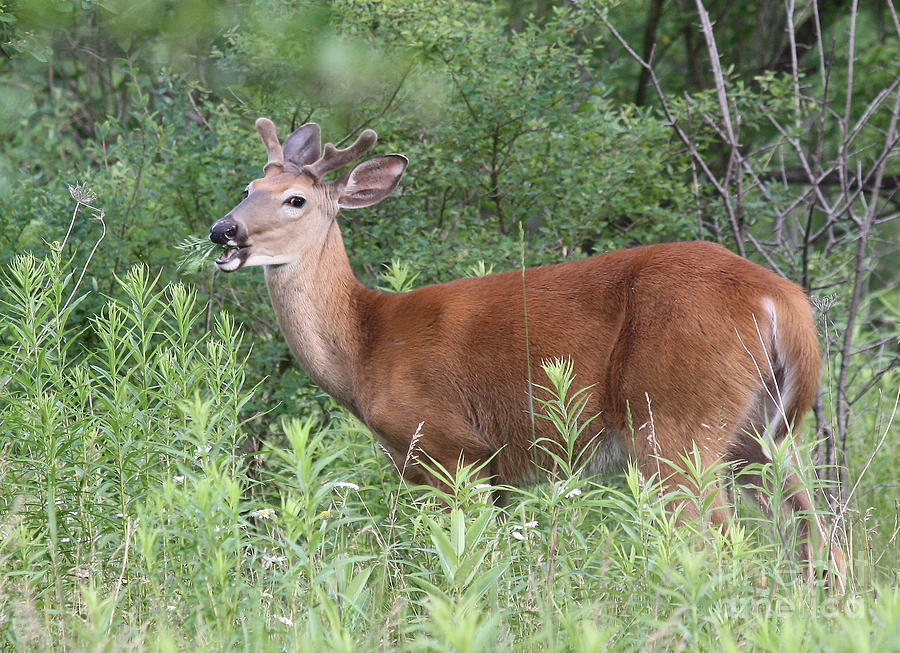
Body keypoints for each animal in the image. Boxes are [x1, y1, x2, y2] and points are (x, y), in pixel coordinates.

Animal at [209, 117, 844, 592]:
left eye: (295, 200)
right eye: (246, 190)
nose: (223, 231)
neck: (365, 346)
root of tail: (780, 299)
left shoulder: (449, 446)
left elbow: (455, 562)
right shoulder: (501, 474)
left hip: (675, 420)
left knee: (718, 543)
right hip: (757, 432)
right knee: (819, 538)